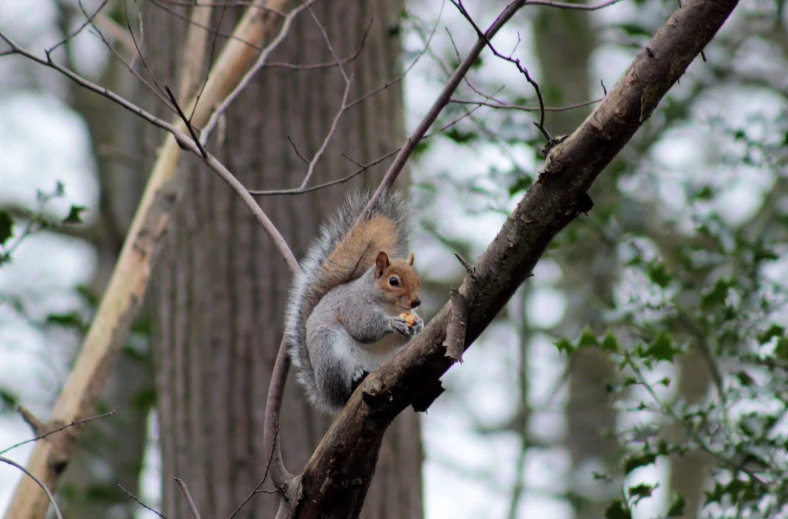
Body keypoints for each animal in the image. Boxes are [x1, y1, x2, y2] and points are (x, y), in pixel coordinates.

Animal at [284, 191, 424, 414]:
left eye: (417, 278)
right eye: (393, 281)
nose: (416, 302)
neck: (389, 307)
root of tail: (327, 396)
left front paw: (418, 324)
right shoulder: (352, 306)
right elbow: (363, 327)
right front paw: (391, 323)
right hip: (333, 356)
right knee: (344, 391)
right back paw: (355, 378)